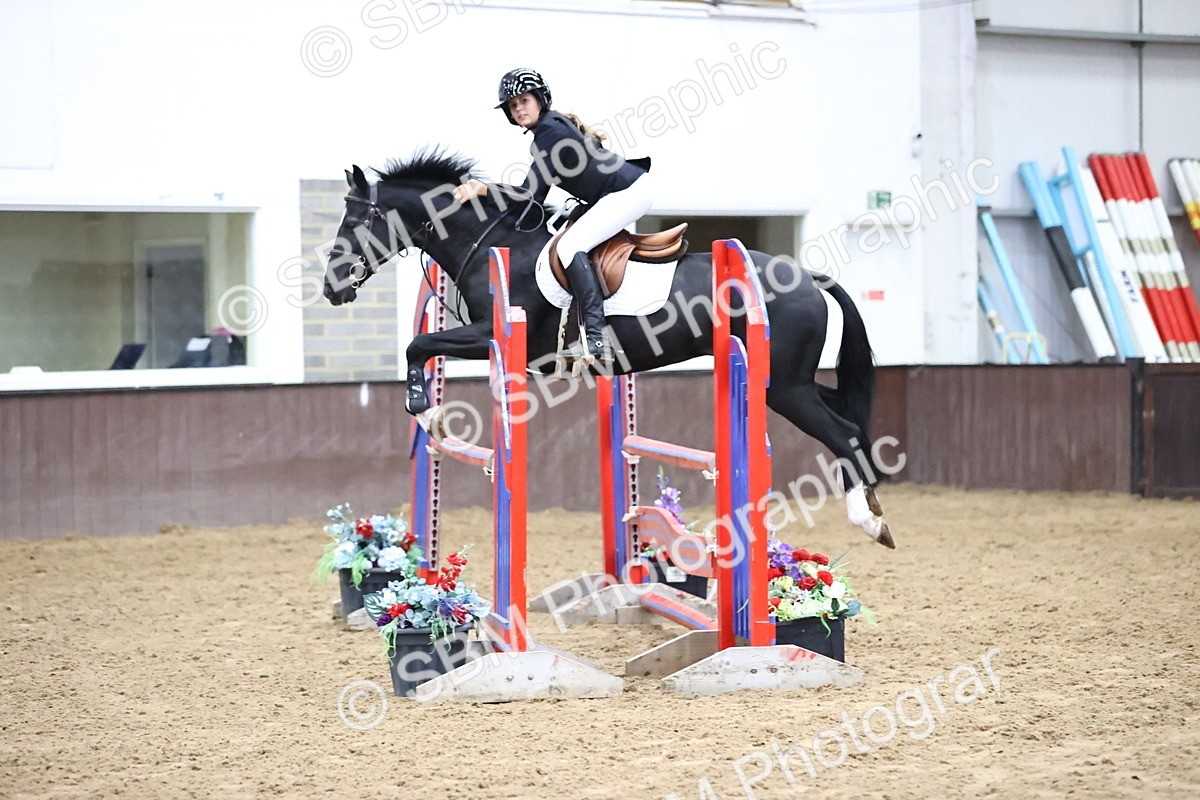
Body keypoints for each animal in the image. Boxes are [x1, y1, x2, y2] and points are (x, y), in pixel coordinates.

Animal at [322, 150, 895, 548]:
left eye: (355, 221)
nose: (331, 288)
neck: (490, 242)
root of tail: (810, 277)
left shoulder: (496, 336)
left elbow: (418, 344)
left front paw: (426, 409)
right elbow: (421, 346)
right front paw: (430, 413)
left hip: (784, 386)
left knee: (843, 432)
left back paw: (868, 520)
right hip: (792, 380)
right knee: (847, 415)